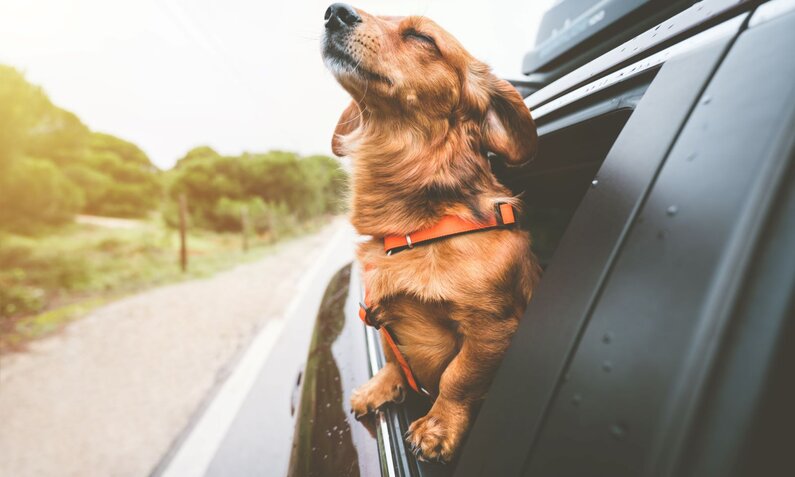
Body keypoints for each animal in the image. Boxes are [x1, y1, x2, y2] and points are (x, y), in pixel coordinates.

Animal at [322, 2, 540, 462]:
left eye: (422, 38)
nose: (334, 12)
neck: (414, 230)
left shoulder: (492, 328)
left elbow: (459, 377)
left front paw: (439, 426)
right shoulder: (379, 315)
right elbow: (393, 354)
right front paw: (383, 386)